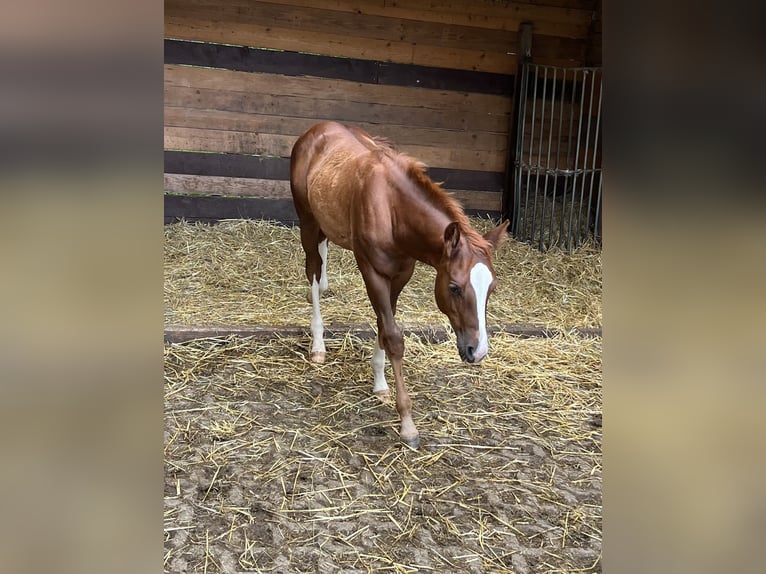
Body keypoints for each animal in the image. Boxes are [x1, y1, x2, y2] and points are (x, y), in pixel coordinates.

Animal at [290, 122, 510, 450]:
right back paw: (318, 345)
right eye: (455, 287)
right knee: (313, 272)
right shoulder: (372, 271)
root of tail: (315, 131)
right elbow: (393, 336)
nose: (477, 351)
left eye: (491, 289)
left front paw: (380, 383)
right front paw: (407, 424)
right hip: (307, 220)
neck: (391, 208)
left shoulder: (402, 273)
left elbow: (384, 327)